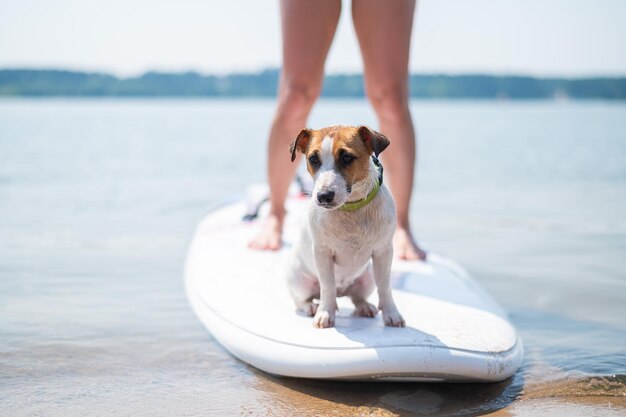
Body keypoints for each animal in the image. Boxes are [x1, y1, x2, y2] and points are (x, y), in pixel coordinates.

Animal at [284, 125, 404, 326]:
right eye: (313, 159)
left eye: (347, 157)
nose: (323, 196)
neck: (350, 208)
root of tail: (343, 292)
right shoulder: (323, 253)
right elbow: (327, 287)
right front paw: (325, 312)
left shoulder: (383, 252)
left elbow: (385, 286)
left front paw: (391, 313)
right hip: (298, 278)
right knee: (301, 299)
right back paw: (311, 307)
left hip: (367, 277)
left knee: (357, 297)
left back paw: (364, 306)